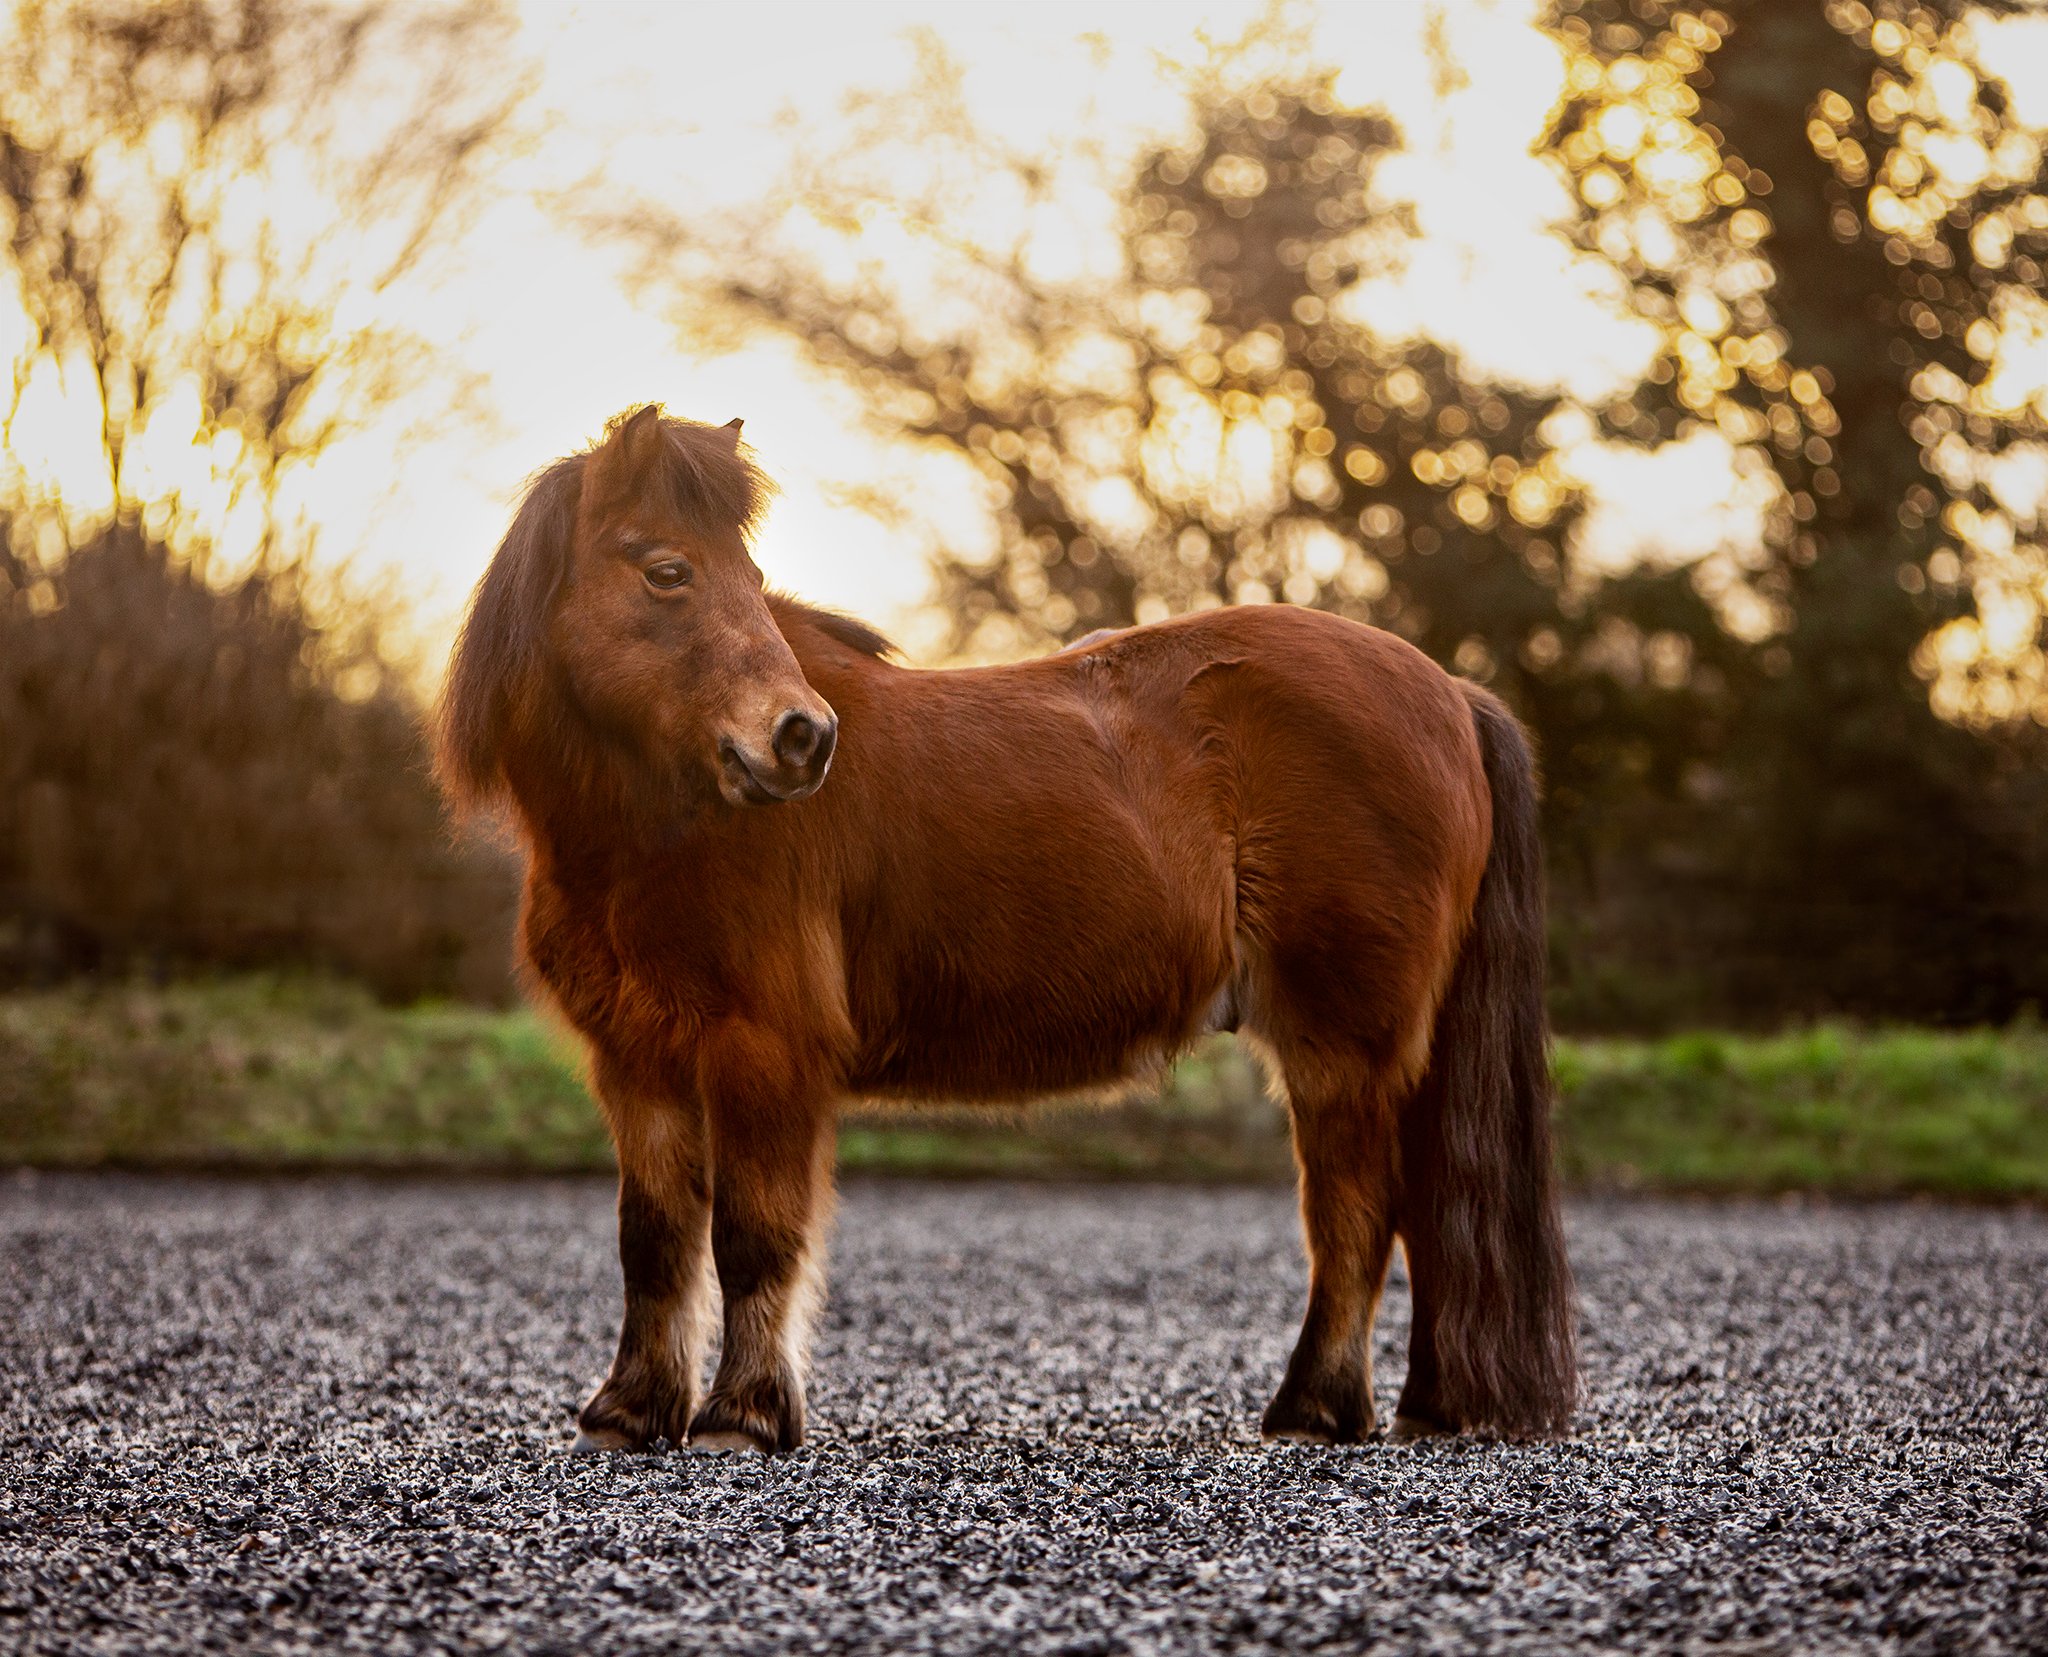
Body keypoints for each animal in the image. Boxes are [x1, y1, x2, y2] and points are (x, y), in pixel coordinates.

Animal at [440, 407, 1572, 1458]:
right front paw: (629, 1411)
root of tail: (1447, 691)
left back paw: (1312, 1409)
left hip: (1343, 1043)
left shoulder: (763, 1051)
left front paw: (744, 1416)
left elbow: (754, 1236)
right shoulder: (636, 1060)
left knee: (1355, 1217)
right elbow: (654, 1240)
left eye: (749, 576)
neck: (668, 826)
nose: (801, 740)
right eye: (668, 570)